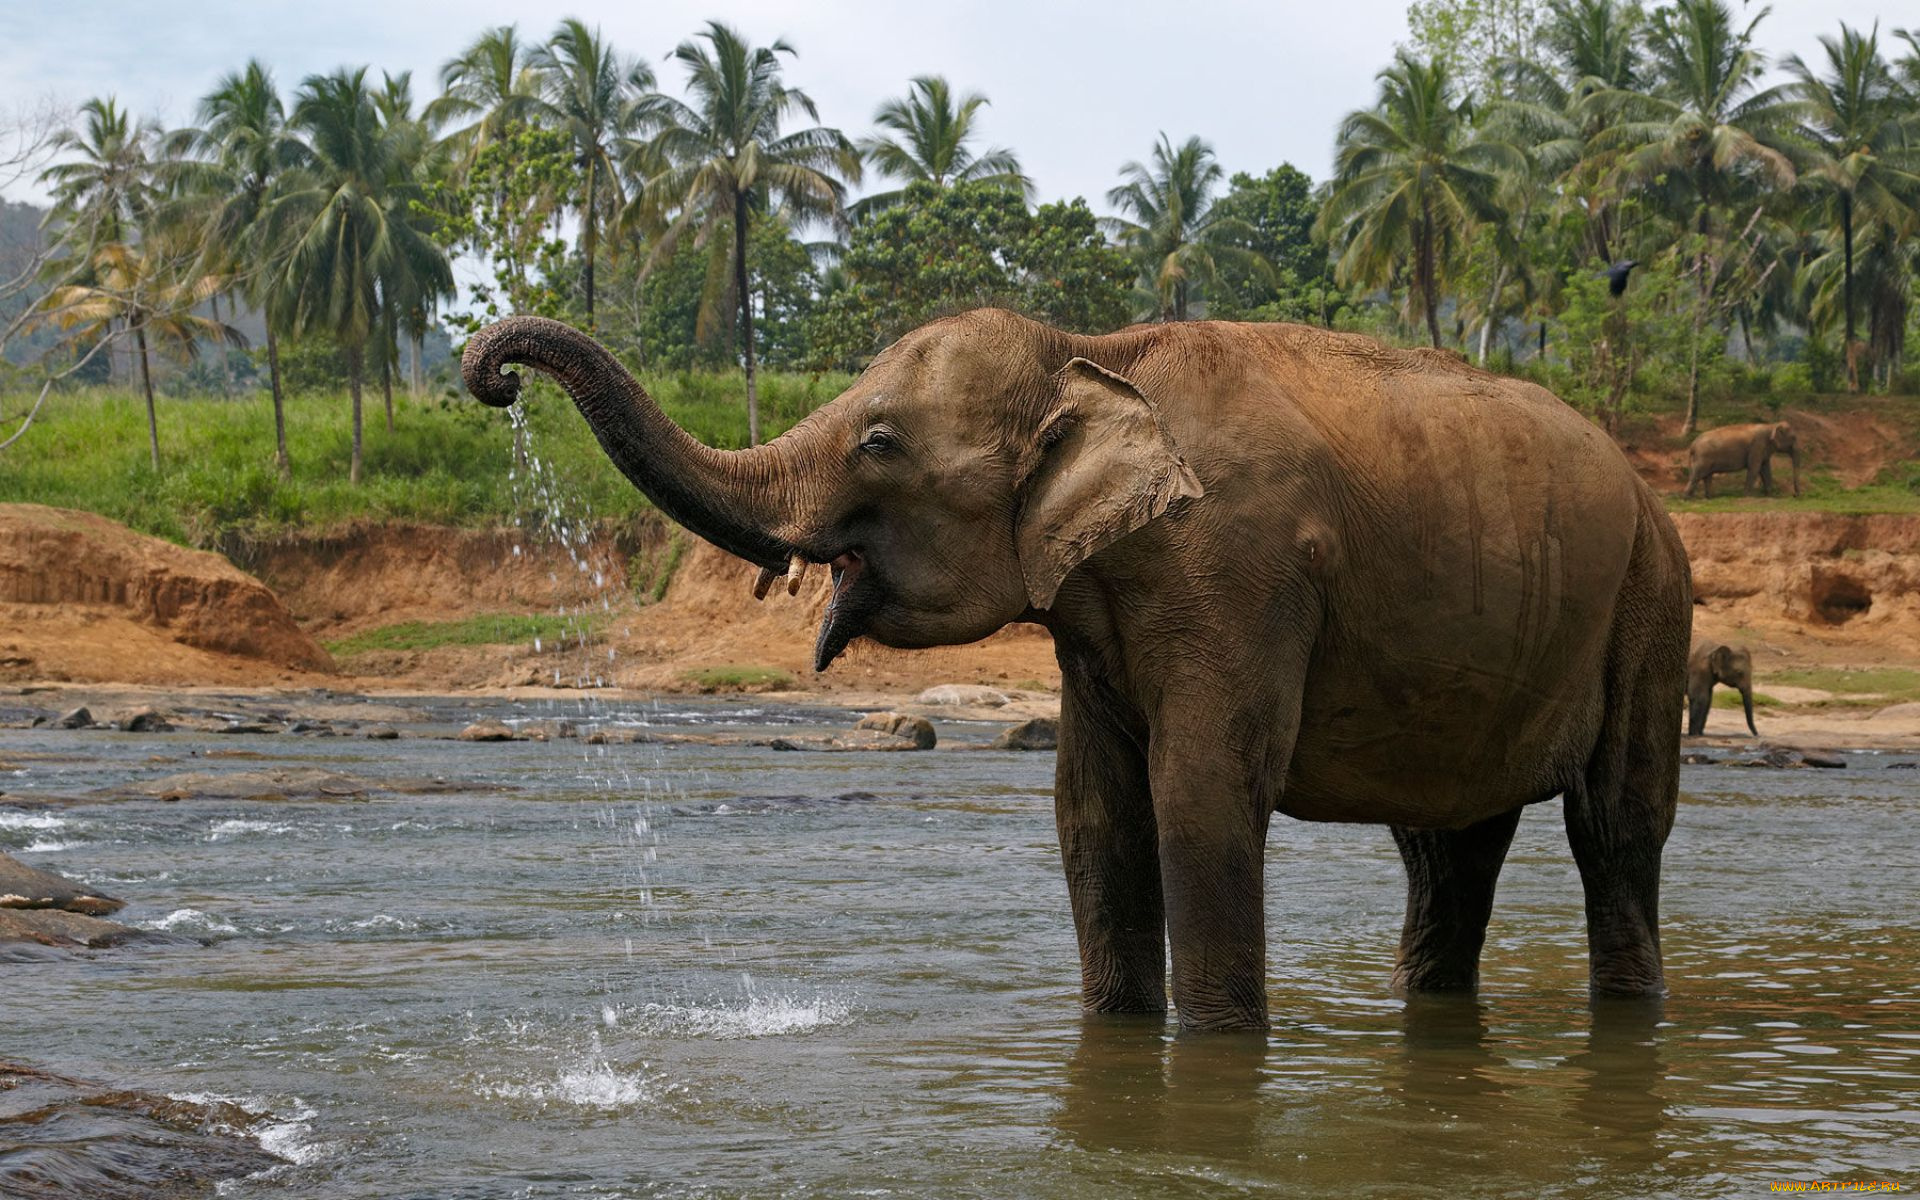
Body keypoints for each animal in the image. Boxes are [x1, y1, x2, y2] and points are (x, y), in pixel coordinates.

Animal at [462, 310, 1694, 1031]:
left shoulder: (1239, 569)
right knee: (1447, 847)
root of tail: (1649, 492)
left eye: (878, 444)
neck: (1092, 347)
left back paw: (1631, 1007)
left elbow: (1200, 796)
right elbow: (1092, 811)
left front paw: (1214, 1052)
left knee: (1613, 828)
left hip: (1652, 602)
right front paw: (1116, 1036)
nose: (492, 376)